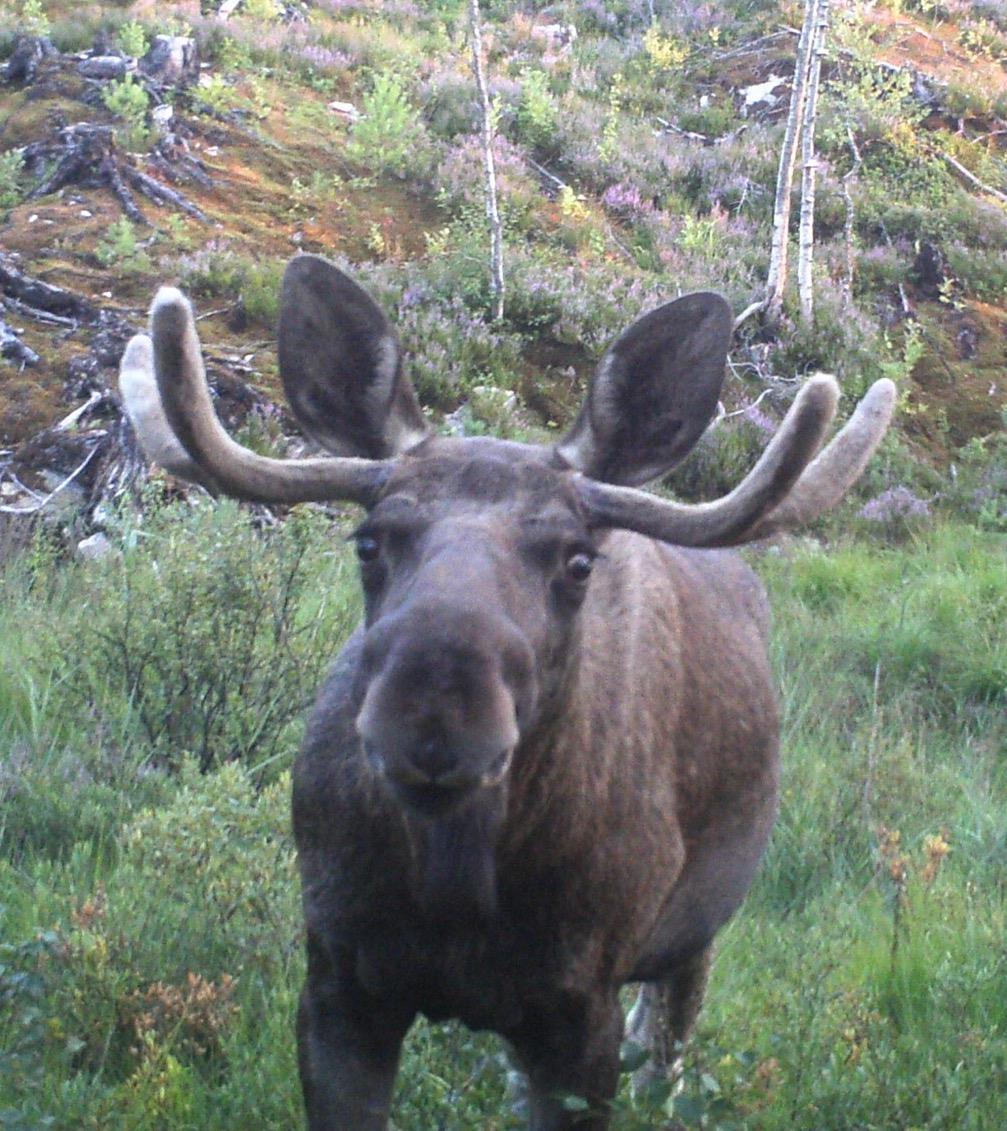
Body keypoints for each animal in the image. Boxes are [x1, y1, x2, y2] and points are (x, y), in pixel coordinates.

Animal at [119, 256, 896, 1131]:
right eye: (369, 541)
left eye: (578, 560)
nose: (435, 708)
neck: (456, 888)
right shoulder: (337, 980)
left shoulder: (579, 1007)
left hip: (697, 925)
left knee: (667, 1044)